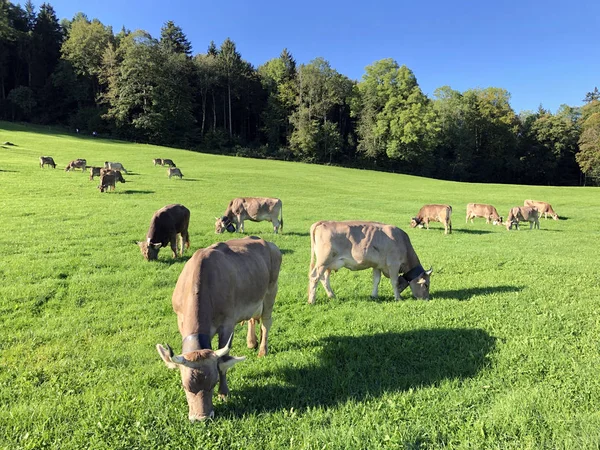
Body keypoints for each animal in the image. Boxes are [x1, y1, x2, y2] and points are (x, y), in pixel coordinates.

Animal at [155, 237, 282, 420]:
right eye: (185, 386)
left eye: (213, 383)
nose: (202, 417)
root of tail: (267, 242)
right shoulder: (180, 319)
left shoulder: (227, 324)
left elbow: (223, 361)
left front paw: (224, 392)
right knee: (252, 318)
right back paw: (251, 342)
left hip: (271, 291)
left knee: (266, 323)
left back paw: (262, 350)